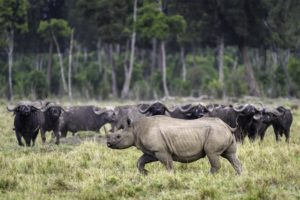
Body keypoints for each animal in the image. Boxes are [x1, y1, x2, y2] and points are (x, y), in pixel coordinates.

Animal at [106, 115, 243, 175]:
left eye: (118, 137)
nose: (108, 143)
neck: (135, 129)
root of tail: (227, 126)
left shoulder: (160, 150)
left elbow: (168, 165)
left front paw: (170, 177)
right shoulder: (153, 151)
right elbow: (140, 161)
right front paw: (145, 173)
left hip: (216, 133)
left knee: (212, 154)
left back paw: (209, 176)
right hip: (222, 133)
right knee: (230, 155)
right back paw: (238, 176)